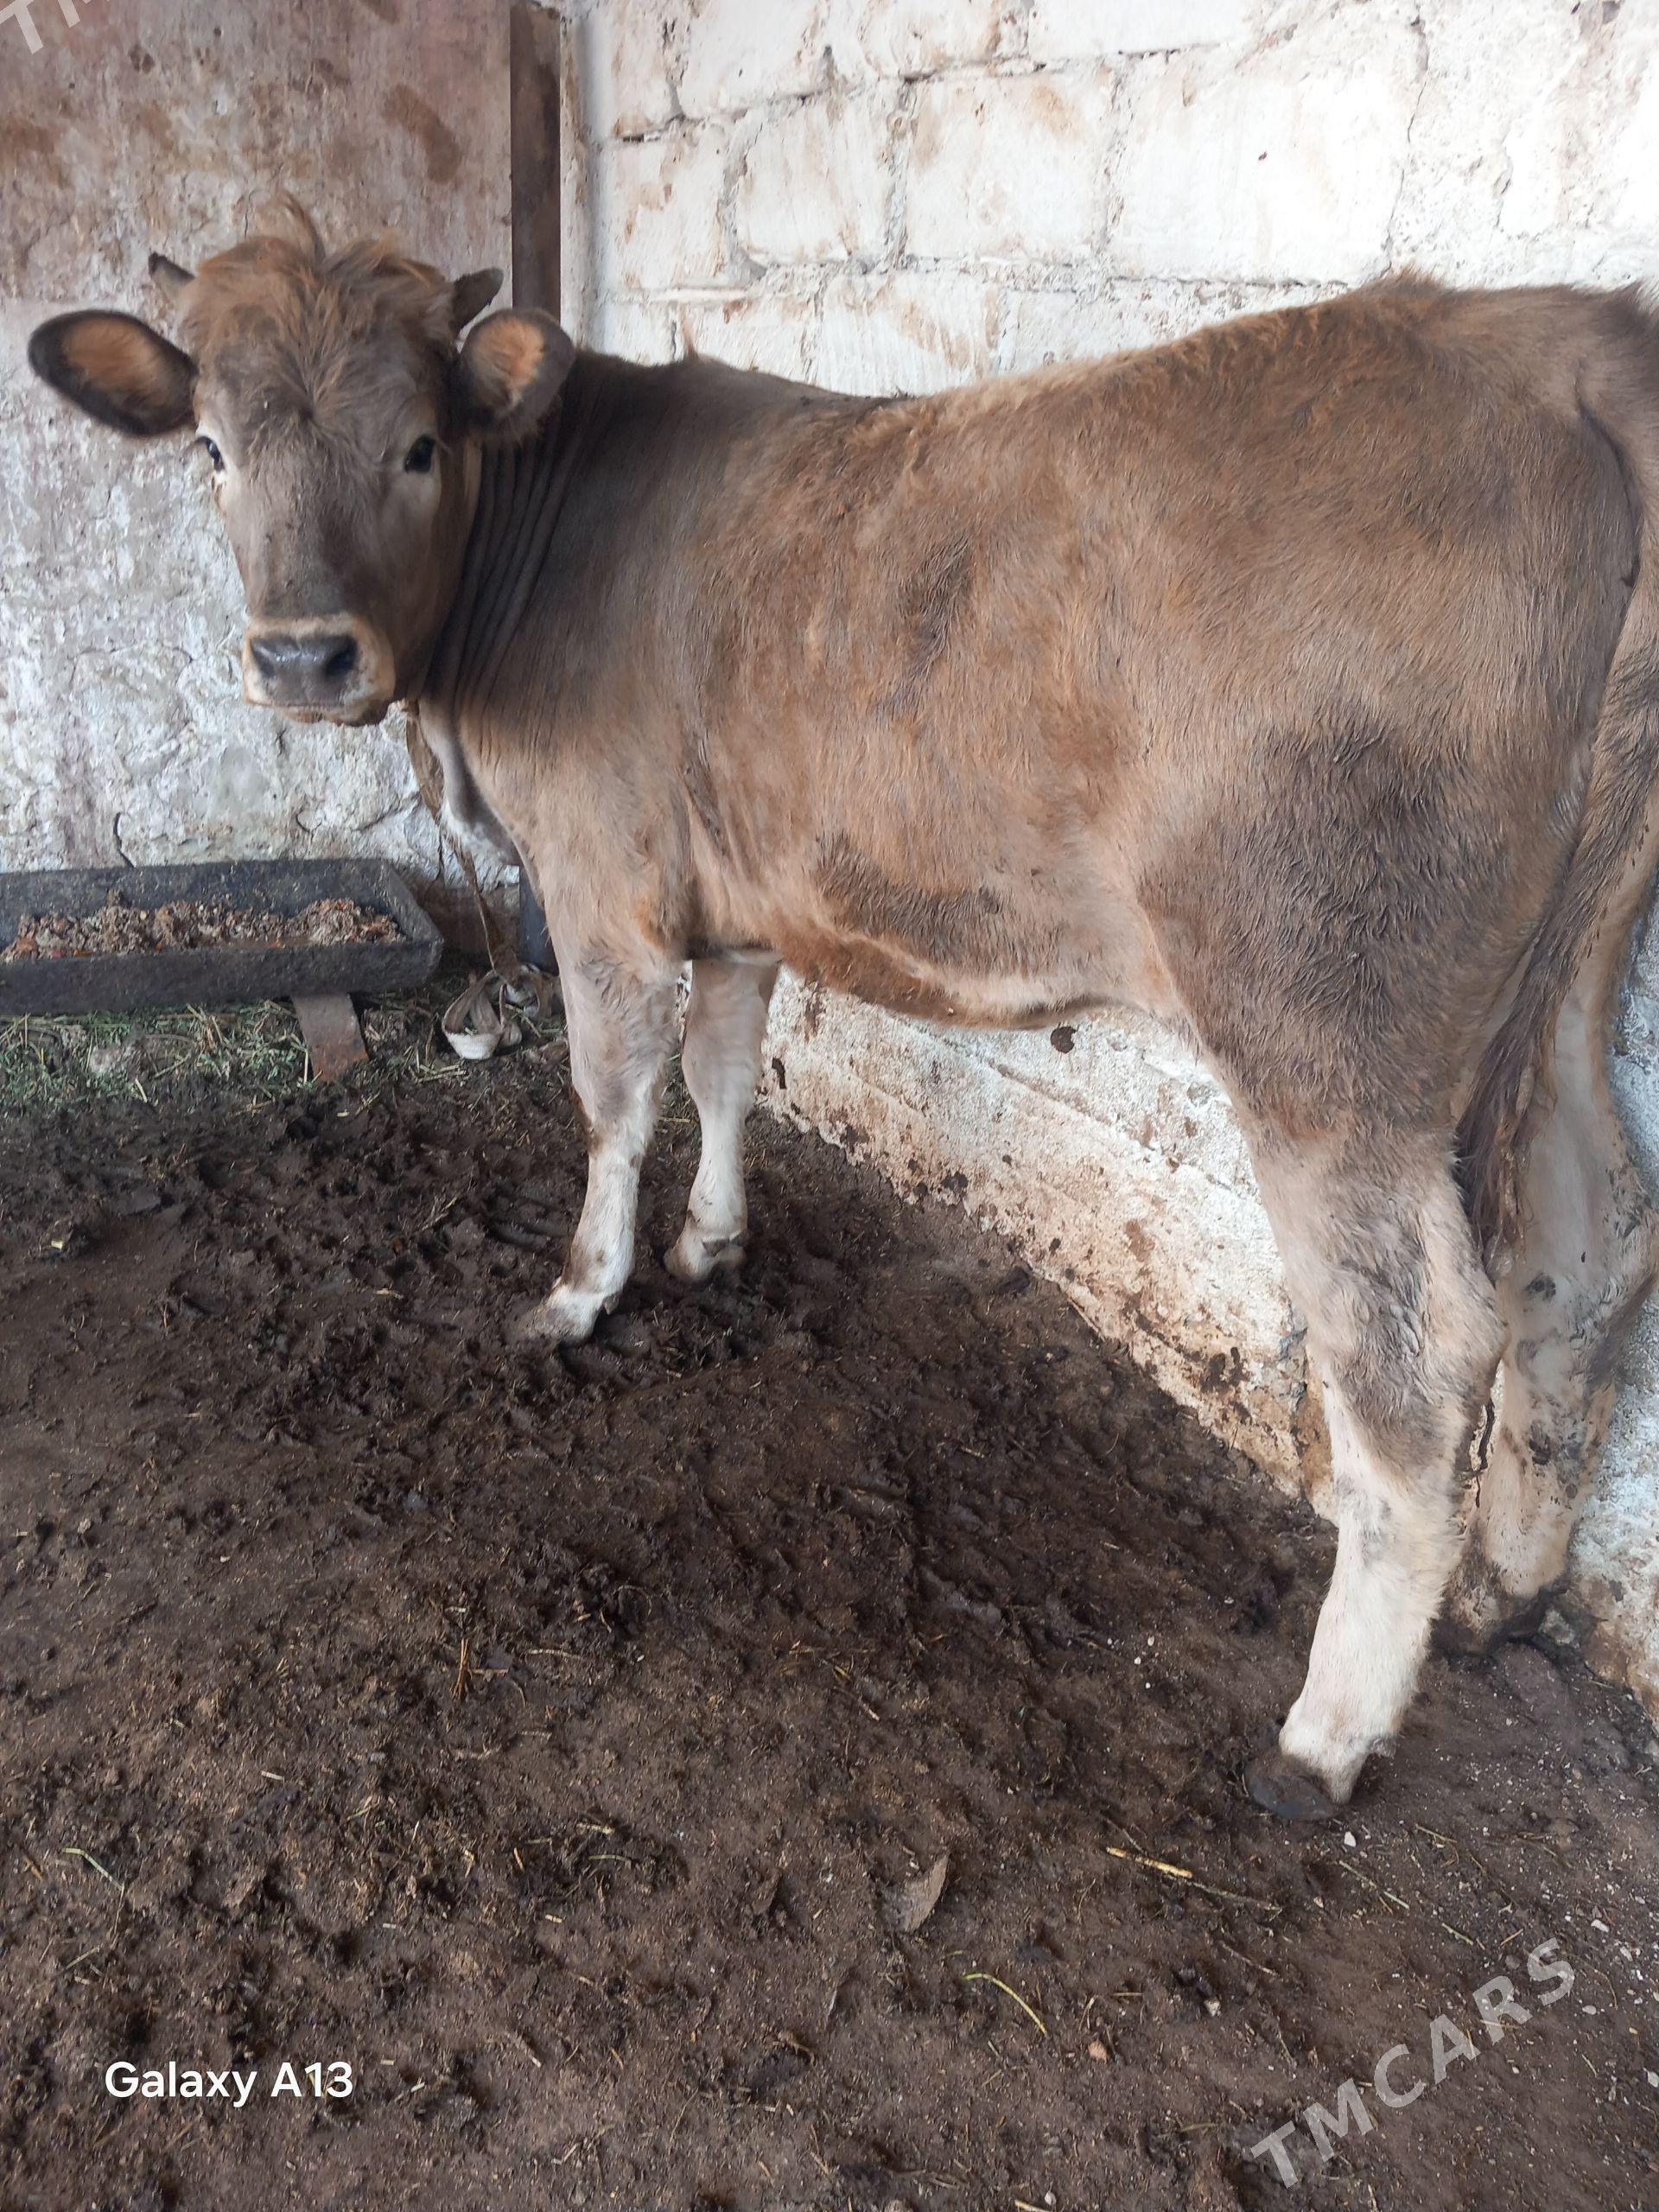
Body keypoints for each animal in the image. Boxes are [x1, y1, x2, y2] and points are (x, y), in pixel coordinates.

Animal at [30, 198, 1659, 1820]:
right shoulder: (740, 897)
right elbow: (723, 1068)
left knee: (1415, 1358)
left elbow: (614, 1093)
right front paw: (711, 1243)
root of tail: (1545, 332)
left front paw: (580, 1289)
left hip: (1326, 1023)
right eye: (210, 447)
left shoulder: (602, 885)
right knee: (1586, 1242)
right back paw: (1502, 1594)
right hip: (1569, 979)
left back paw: (1328, 1733)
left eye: (420, 445)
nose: (303, 658)